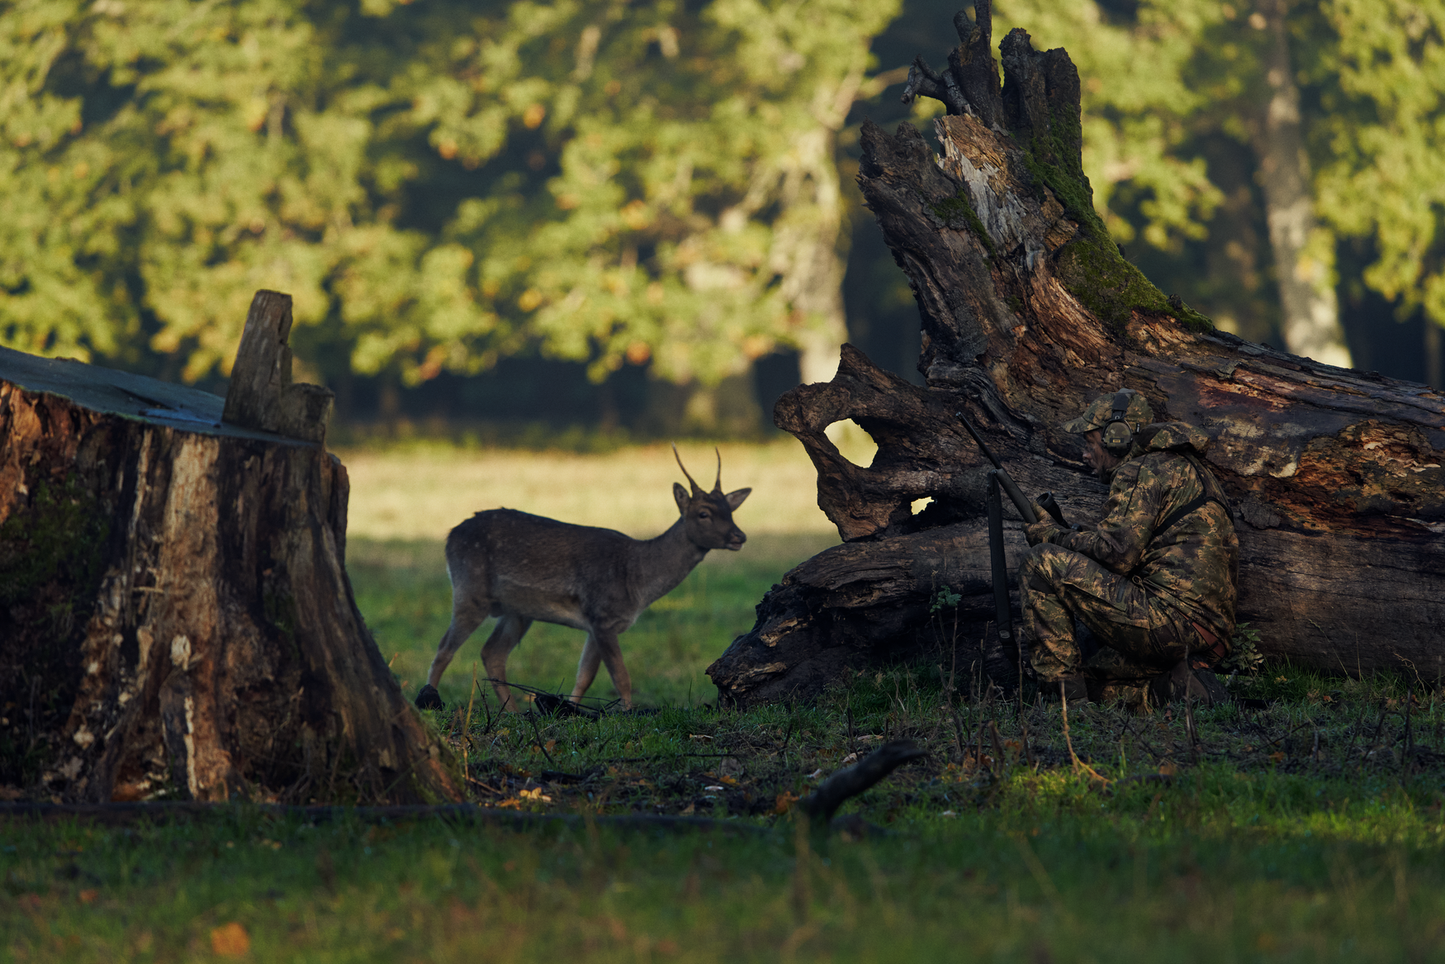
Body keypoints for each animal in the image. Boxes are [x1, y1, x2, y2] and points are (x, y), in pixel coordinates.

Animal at [413, 447, 750, 714]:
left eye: (731, 510)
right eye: (703, 513)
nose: (739, 536)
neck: (637, 581)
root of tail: (450, 535)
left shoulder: (595, 624)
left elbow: (584, 676)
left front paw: (570, 711)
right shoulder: (603, 615)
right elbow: (621, 678)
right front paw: (627, 713)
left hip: (517, 610)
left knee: (491, 653)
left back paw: (512, 711)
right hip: (470, 589)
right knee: (444, 649)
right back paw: (430, 702)